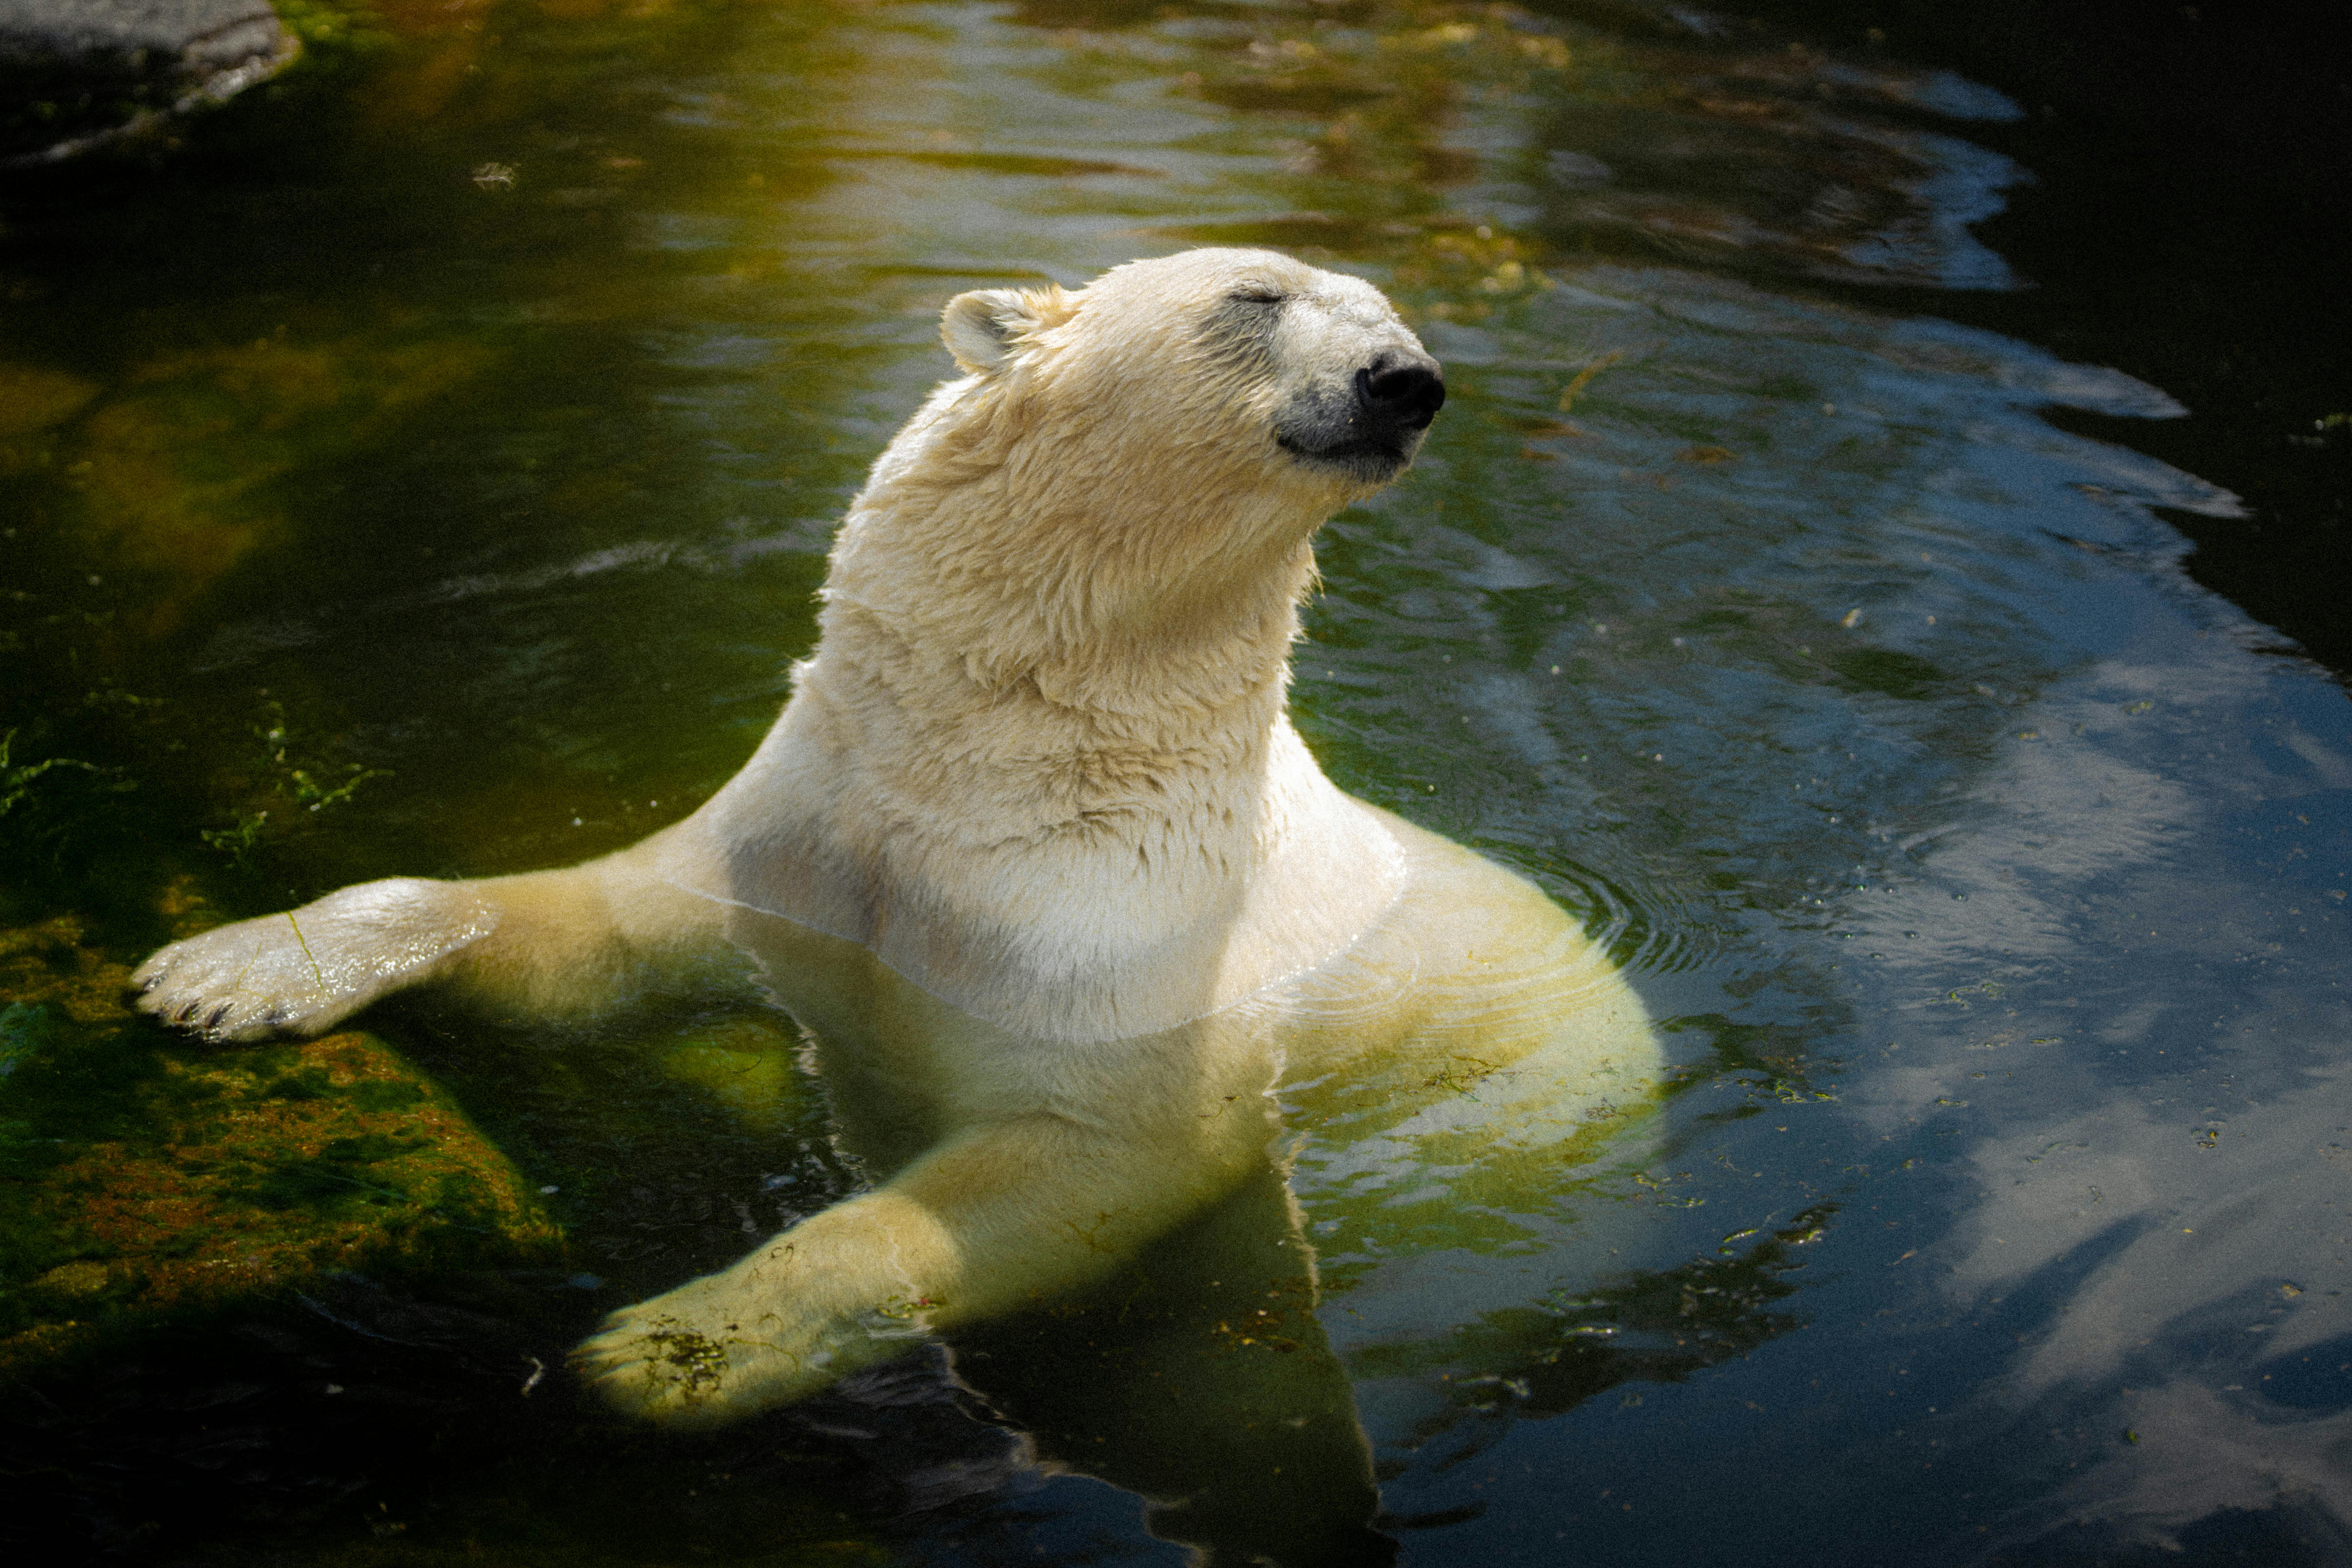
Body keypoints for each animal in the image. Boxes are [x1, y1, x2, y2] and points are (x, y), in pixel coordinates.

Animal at [133, 248, 1660, 1444]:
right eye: (1259, 296)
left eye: (1389, 313)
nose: (1408, 381)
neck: (992, 767)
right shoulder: (803, 837)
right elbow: (597, 931)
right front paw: (225, 973)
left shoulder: (1137, 953)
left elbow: (1076, 1163)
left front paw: (671, 1352)